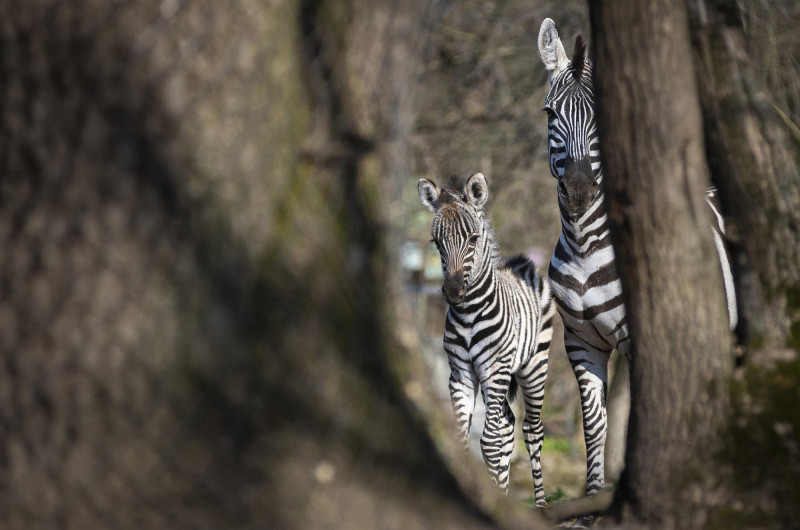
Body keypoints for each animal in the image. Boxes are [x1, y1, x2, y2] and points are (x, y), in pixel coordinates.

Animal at [418, 172, 556, 504]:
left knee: (531, 430)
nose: (453, 292)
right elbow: (464, 437)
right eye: (436, 242)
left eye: (473, 239)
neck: (469, 313)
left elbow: (490, 442)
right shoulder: (460, 372)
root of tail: (522, 263)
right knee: (507, 425)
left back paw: (541, 503)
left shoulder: (494, 369)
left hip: (534, 366)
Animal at [536, 17, 736, 496]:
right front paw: (593, 494)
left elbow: (637, 422)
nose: (578, 191)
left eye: (602, 117)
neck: (585, 248)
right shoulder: (582, 342)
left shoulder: (638, 341)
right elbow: (595, 423)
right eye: (550, 114)